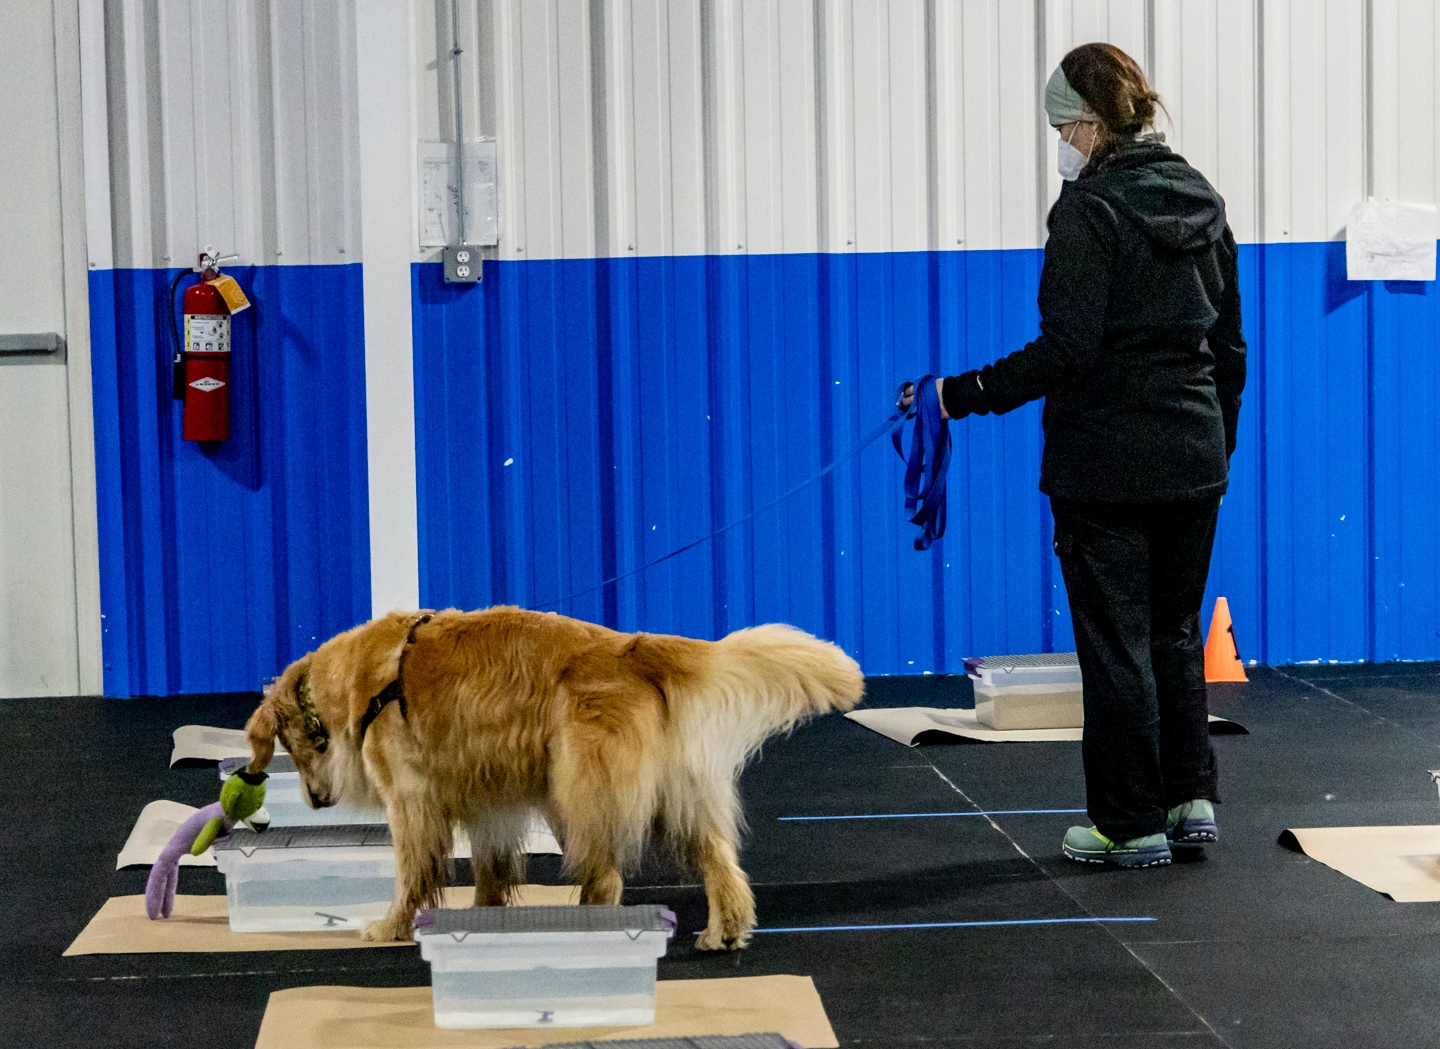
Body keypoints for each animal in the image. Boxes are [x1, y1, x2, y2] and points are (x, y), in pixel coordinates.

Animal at [242, 606, 864, 949]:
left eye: (290, 751)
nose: (316, 801)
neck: (356, 685)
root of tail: (630, 648)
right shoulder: (489, 801)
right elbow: (491, 870)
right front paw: (482, 915)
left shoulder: (411, 799)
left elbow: (412, 873)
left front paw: (394, 925)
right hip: (672, 794)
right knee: (719, 861)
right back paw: (724, 930)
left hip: (579, 786)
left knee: (607, 875)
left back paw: (587, 919)